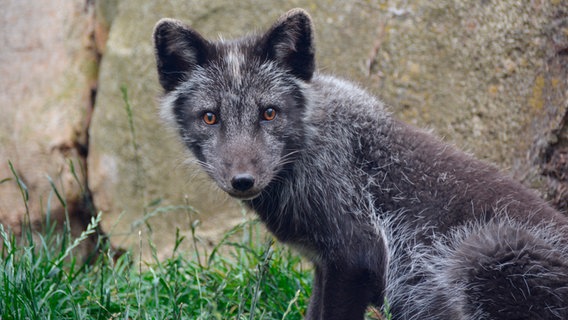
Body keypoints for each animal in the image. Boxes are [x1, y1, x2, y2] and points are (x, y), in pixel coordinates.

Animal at [152, 8, 568, 320]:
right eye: (210, 117)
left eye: (269, 113)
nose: (243, 180)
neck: (312, 151)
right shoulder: (324, 266)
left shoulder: (357, 256)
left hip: (486, 252)